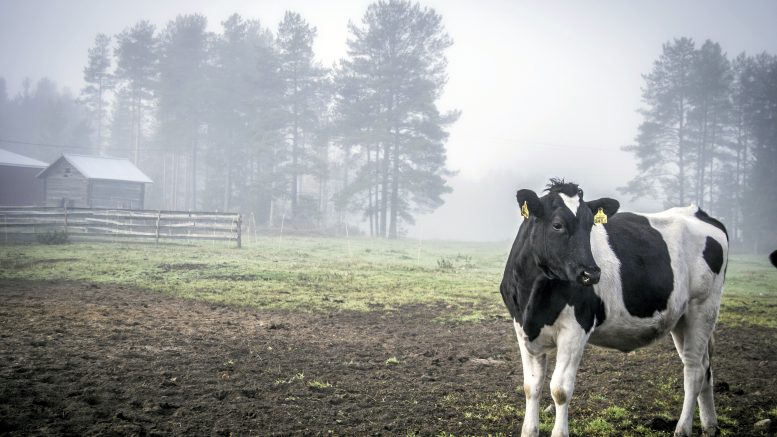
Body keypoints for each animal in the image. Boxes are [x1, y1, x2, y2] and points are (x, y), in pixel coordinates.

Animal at [498, 178, 728, 436]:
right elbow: (531, 386)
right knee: (705, 367)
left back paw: (683, 428)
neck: (534, 297)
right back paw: (710, 425)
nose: (591, 273)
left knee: (694, 369)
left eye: (590, 225)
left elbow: (560, 389)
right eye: (557, 225)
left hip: (703, 308)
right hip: (681, 318)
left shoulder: (576, 328)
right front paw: (529, 430)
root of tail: (697, 211)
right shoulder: (522, 328)